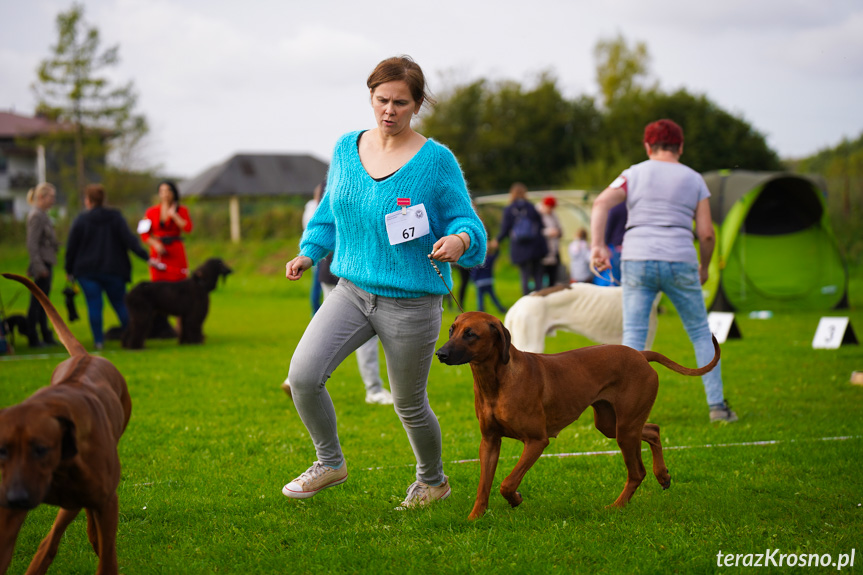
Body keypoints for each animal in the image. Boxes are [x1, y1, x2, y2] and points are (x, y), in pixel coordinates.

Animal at [0, 274, 132, 575]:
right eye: (2, 451)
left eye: (41, 448)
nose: (16, 496)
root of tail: (85, 355)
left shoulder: (105, 499)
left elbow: (107, 559)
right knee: (52, 539)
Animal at [436, 312, 720, 520]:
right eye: (451, 330)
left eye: (471, 334)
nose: (440, 353)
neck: (496, 381)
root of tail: (640, 354)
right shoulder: (489, 442)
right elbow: (483, 485)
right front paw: (475, 517)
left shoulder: (537, 441)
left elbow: (507, 482)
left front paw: (515, 498)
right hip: (611, 423)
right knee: (653, 429)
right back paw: (663, 475)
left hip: (625, 429)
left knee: (637, 471)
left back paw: (617, 506)